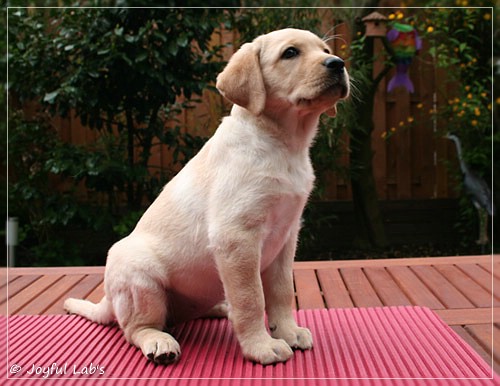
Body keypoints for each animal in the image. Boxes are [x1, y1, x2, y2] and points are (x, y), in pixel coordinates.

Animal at [64, 28, 350, 366]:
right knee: (136, 328)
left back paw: (218, 308)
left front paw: (288, 332)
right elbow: (251, 298)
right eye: (290, 53)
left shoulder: (286, 236)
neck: (283, 144)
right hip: (140, 278)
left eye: (326, 50)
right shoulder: (236, 237)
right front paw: (261, 346)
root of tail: (108, 298)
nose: (338, 63)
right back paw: (159, 341)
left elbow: (280, 292)